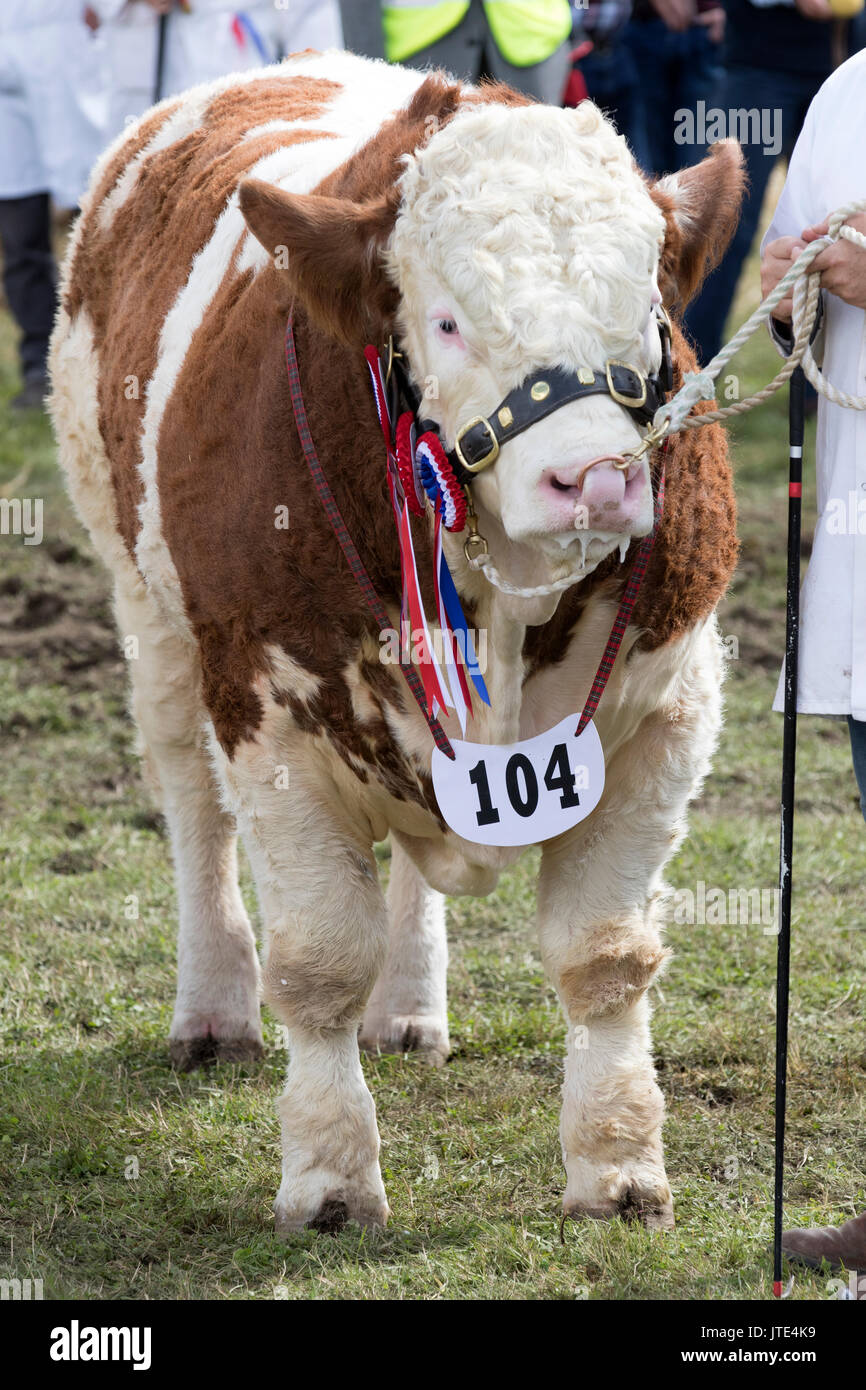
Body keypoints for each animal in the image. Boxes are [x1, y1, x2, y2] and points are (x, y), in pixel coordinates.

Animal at [50, 48, 745, 1234]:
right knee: (191, 807)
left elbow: (604, 955)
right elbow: (321, 959)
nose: (596, 479)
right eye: (449, 319)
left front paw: (616, 1166)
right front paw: (330, 1174)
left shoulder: (668, 707)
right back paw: (212, 1010)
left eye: (648, 312)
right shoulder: (267, 710)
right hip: (148, 618)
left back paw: (410, 1008)